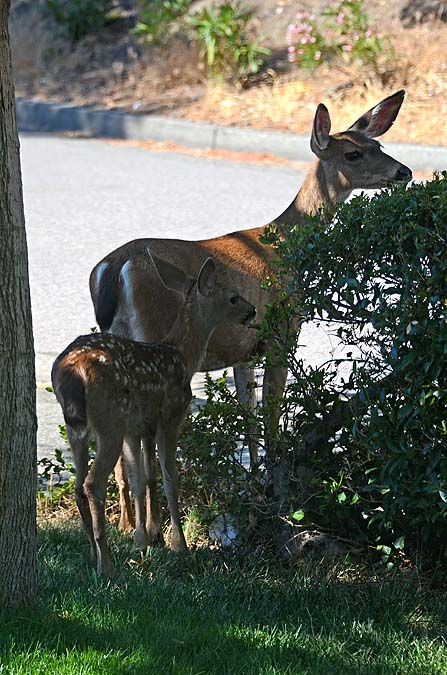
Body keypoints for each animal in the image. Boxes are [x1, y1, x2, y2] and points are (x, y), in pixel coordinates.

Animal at [52, 254, 256, 576]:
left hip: (78, 427)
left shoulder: (137, 427)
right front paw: (179, 545)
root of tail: (72, 370)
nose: (253, 311)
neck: (182, 355)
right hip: (109, 420)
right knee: (92, 483)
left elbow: (141, 478)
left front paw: (145, 540)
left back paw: (93, 556)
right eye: (233, 297)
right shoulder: (171, 415)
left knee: (77, 486)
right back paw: (106, 565)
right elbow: (170, 477)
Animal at [90, 91, 412, 476]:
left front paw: (255, 475)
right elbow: (270, 414)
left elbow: (249, 417)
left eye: (378, 144)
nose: (405, 172)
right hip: (154, 335)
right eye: (353, 154)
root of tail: (112, 269)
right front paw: (274, 473)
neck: (284, 242)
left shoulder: (242, 349)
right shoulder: (281, 332)